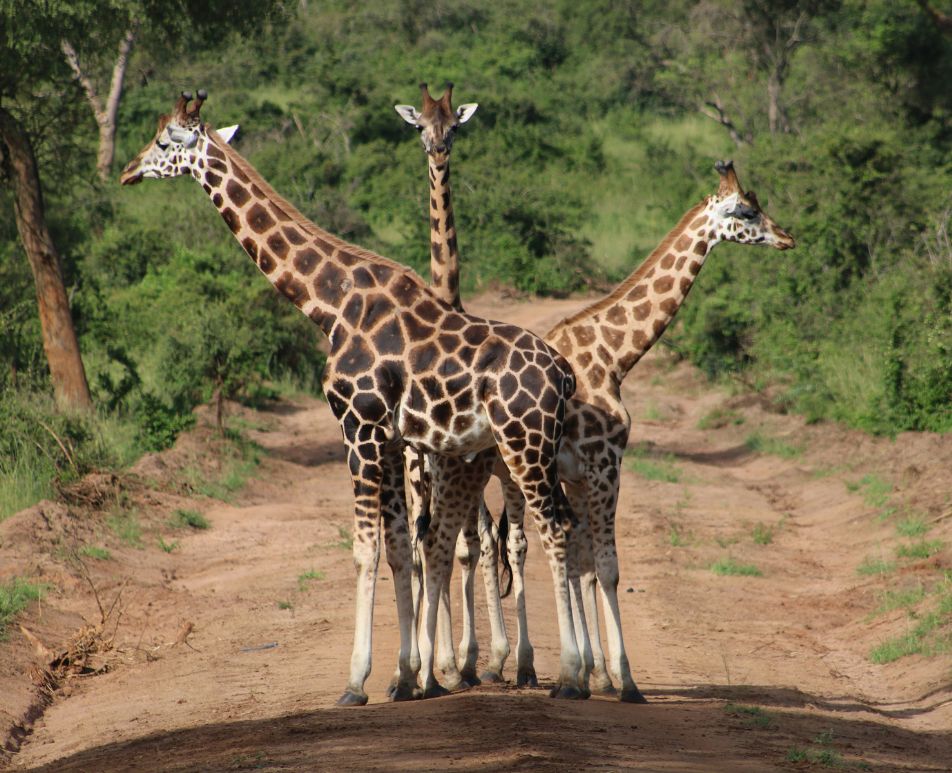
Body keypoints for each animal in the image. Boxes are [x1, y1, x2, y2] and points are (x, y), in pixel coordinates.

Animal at [120, 90, 586, 705]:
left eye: (164, 141)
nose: (127, 171)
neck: (328, 303)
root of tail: (563, 372)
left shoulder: (358, 428)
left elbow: (367, 548)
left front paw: (358, 679)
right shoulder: (389, 438)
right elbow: (400, 545)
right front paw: (406, 676)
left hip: (522, 445)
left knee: (551, 530)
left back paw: (571, 676)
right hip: (532, 449)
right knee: (555, 527)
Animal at [483, 159, 796, 700]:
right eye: (746, 211)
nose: (787, 238)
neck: (613, 357)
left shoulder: (577, 474)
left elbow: (584, 566)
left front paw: (593, 674)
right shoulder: (604, 465)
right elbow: (605, 568)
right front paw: (621, 679)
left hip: (501, 475)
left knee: (493, 545)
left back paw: (491, 666)